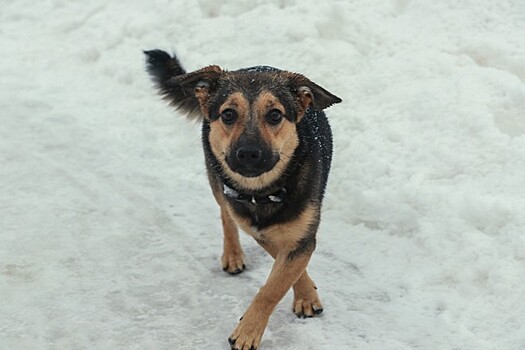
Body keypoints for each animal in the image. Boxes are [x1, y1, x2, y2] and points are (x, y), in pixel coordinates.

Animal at [144, 50, 340, 350]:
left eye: (275, 114)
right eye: (228, 114)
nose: (249, 153)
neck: (263, 191)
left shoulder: (300, 237)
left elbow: (275, 285)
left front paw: (298, 301)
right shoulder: (260, 231)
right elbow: (279, 276)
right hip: (216, 178)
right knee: (226, 215)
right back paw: (232, 255)